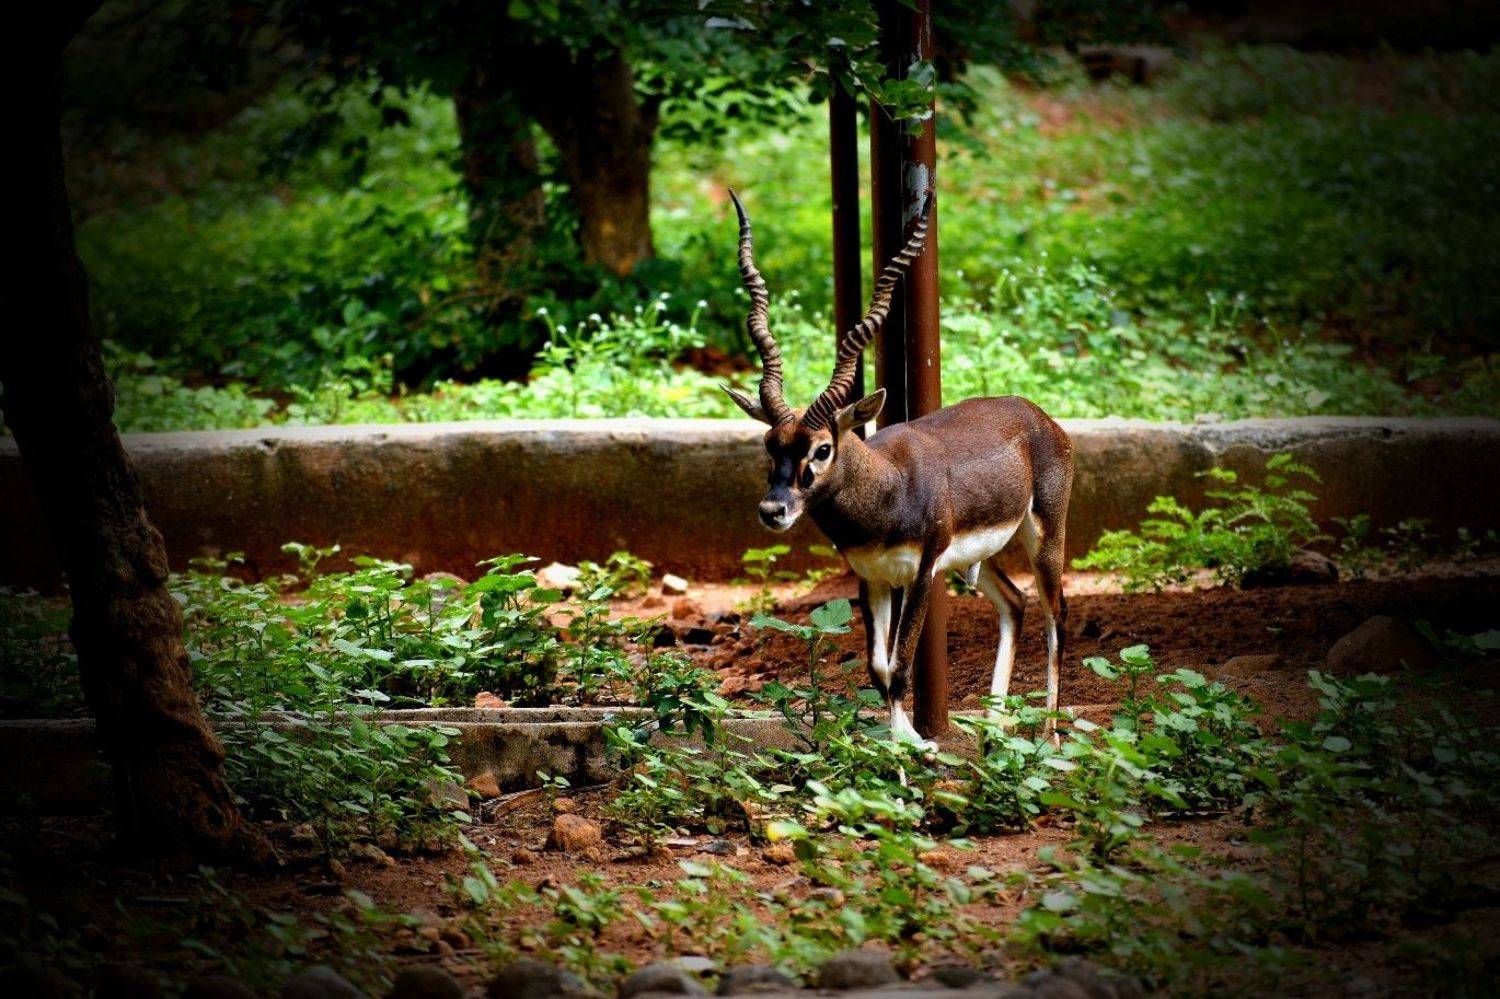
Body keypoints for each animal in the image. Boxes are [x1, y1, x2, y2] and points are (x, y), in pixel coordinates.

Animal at [722, 189, 1074, 746]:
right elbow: (878, 669)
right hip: (981, 556)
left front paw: (912, 747)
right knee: (1015, 604)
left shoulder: (922, 573)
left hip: (1044, 534)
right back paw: (994, 727)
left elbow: (902, 665)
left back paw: (1050, 737)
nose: (773, 510)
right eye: (769, 444)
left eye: (822, 449)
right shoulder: (871, 577)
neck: (886, 491)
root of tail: (1039, 416)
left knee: (1056, 612)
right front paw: (902, 740)